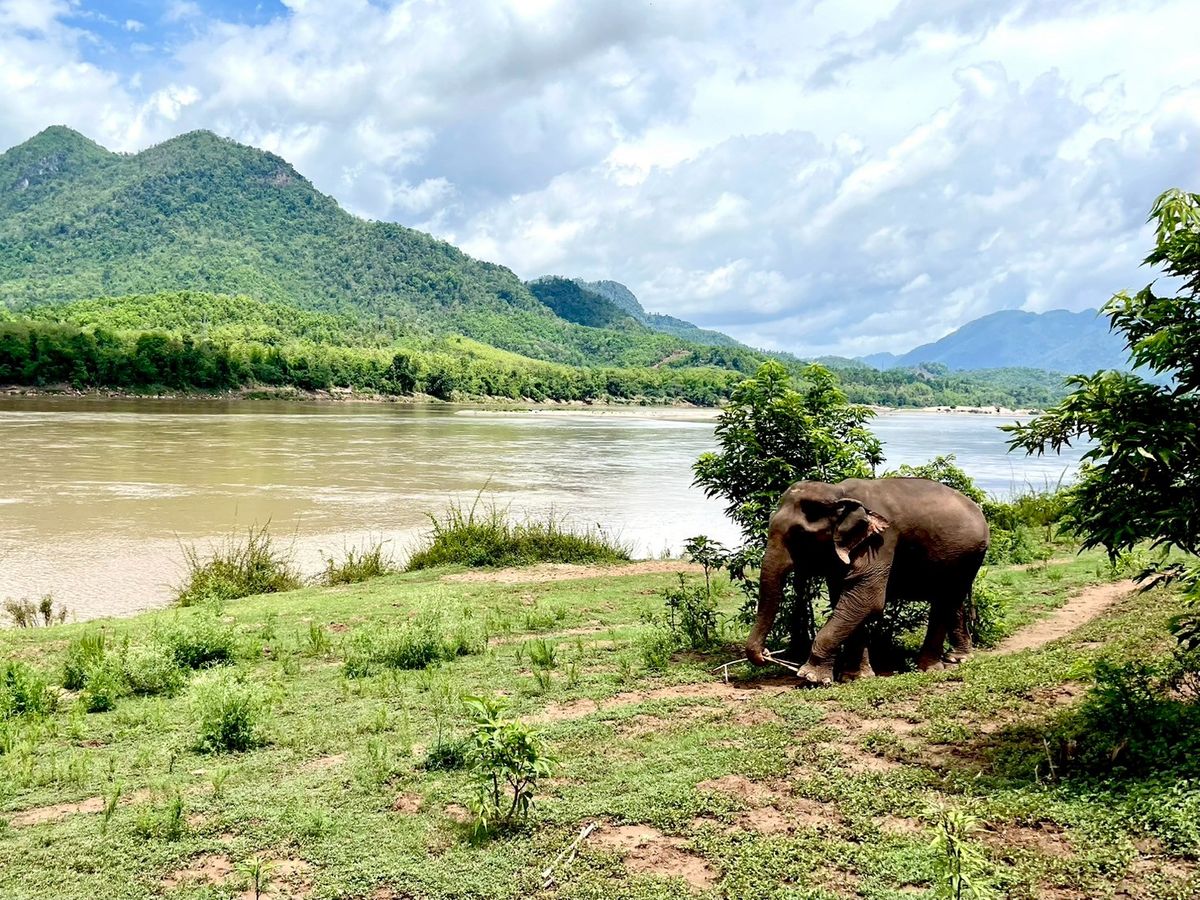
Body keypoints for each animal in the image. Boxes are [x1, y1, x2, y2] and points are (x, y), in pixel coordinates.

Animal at [745, 477, 989, 685]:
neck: (839, 492)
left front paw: (811, 677)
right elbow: (847, 599)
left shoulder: (880, 541)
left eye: (799, 536)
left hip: (968, 554)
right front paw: (856, 677)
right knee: (952, 600)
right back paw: (958, 658)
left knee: (946, 598)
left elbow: (866, 600)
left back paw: (930, 668)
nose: (765, 654)